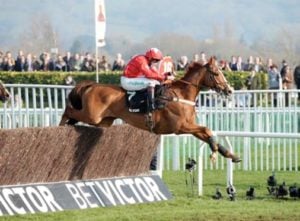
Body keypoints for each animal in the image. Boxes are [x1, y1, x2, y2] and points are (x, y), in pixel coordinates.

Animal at [59, 57, 241, 162]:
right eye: (216, 73)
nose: (229, 90)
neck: (181, 95)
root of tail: (91, 85)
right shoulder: (180, 127)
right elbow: (207, 130)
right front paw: (214, 153)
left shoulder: (190, 126)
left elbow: (208, 134)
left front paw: (230, 155)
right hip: (92, 115)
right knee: (68, 111)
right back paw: (60, 126)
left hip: (103, 122)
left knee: (74, 117)